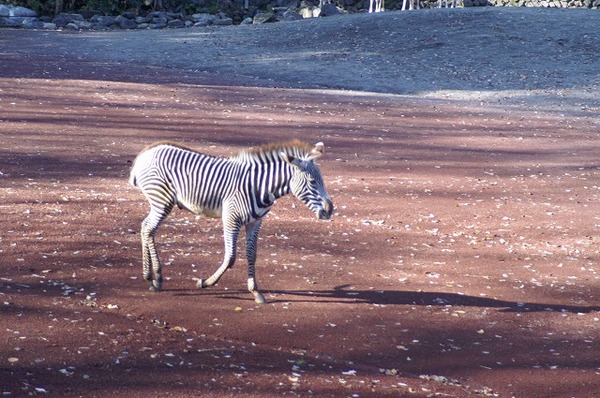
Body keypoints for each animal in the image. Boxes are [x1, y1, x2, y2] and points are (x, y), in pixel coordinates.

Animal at [129, 138, 332, 304]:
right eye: (312, 182)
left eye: (322, 180)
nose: (330, 210)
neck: (260, 187)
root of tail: (146, 152)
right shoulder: (231, 218)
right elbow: (231, 257)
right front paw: (205, 282)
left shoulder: (255, 222)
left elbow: (251, 255)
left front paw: (255, 291)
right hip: (162, 200)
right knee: (148, 229)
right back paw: (156, 278)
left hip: (160, 202)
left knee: (145, 227)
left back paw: (150, 277)